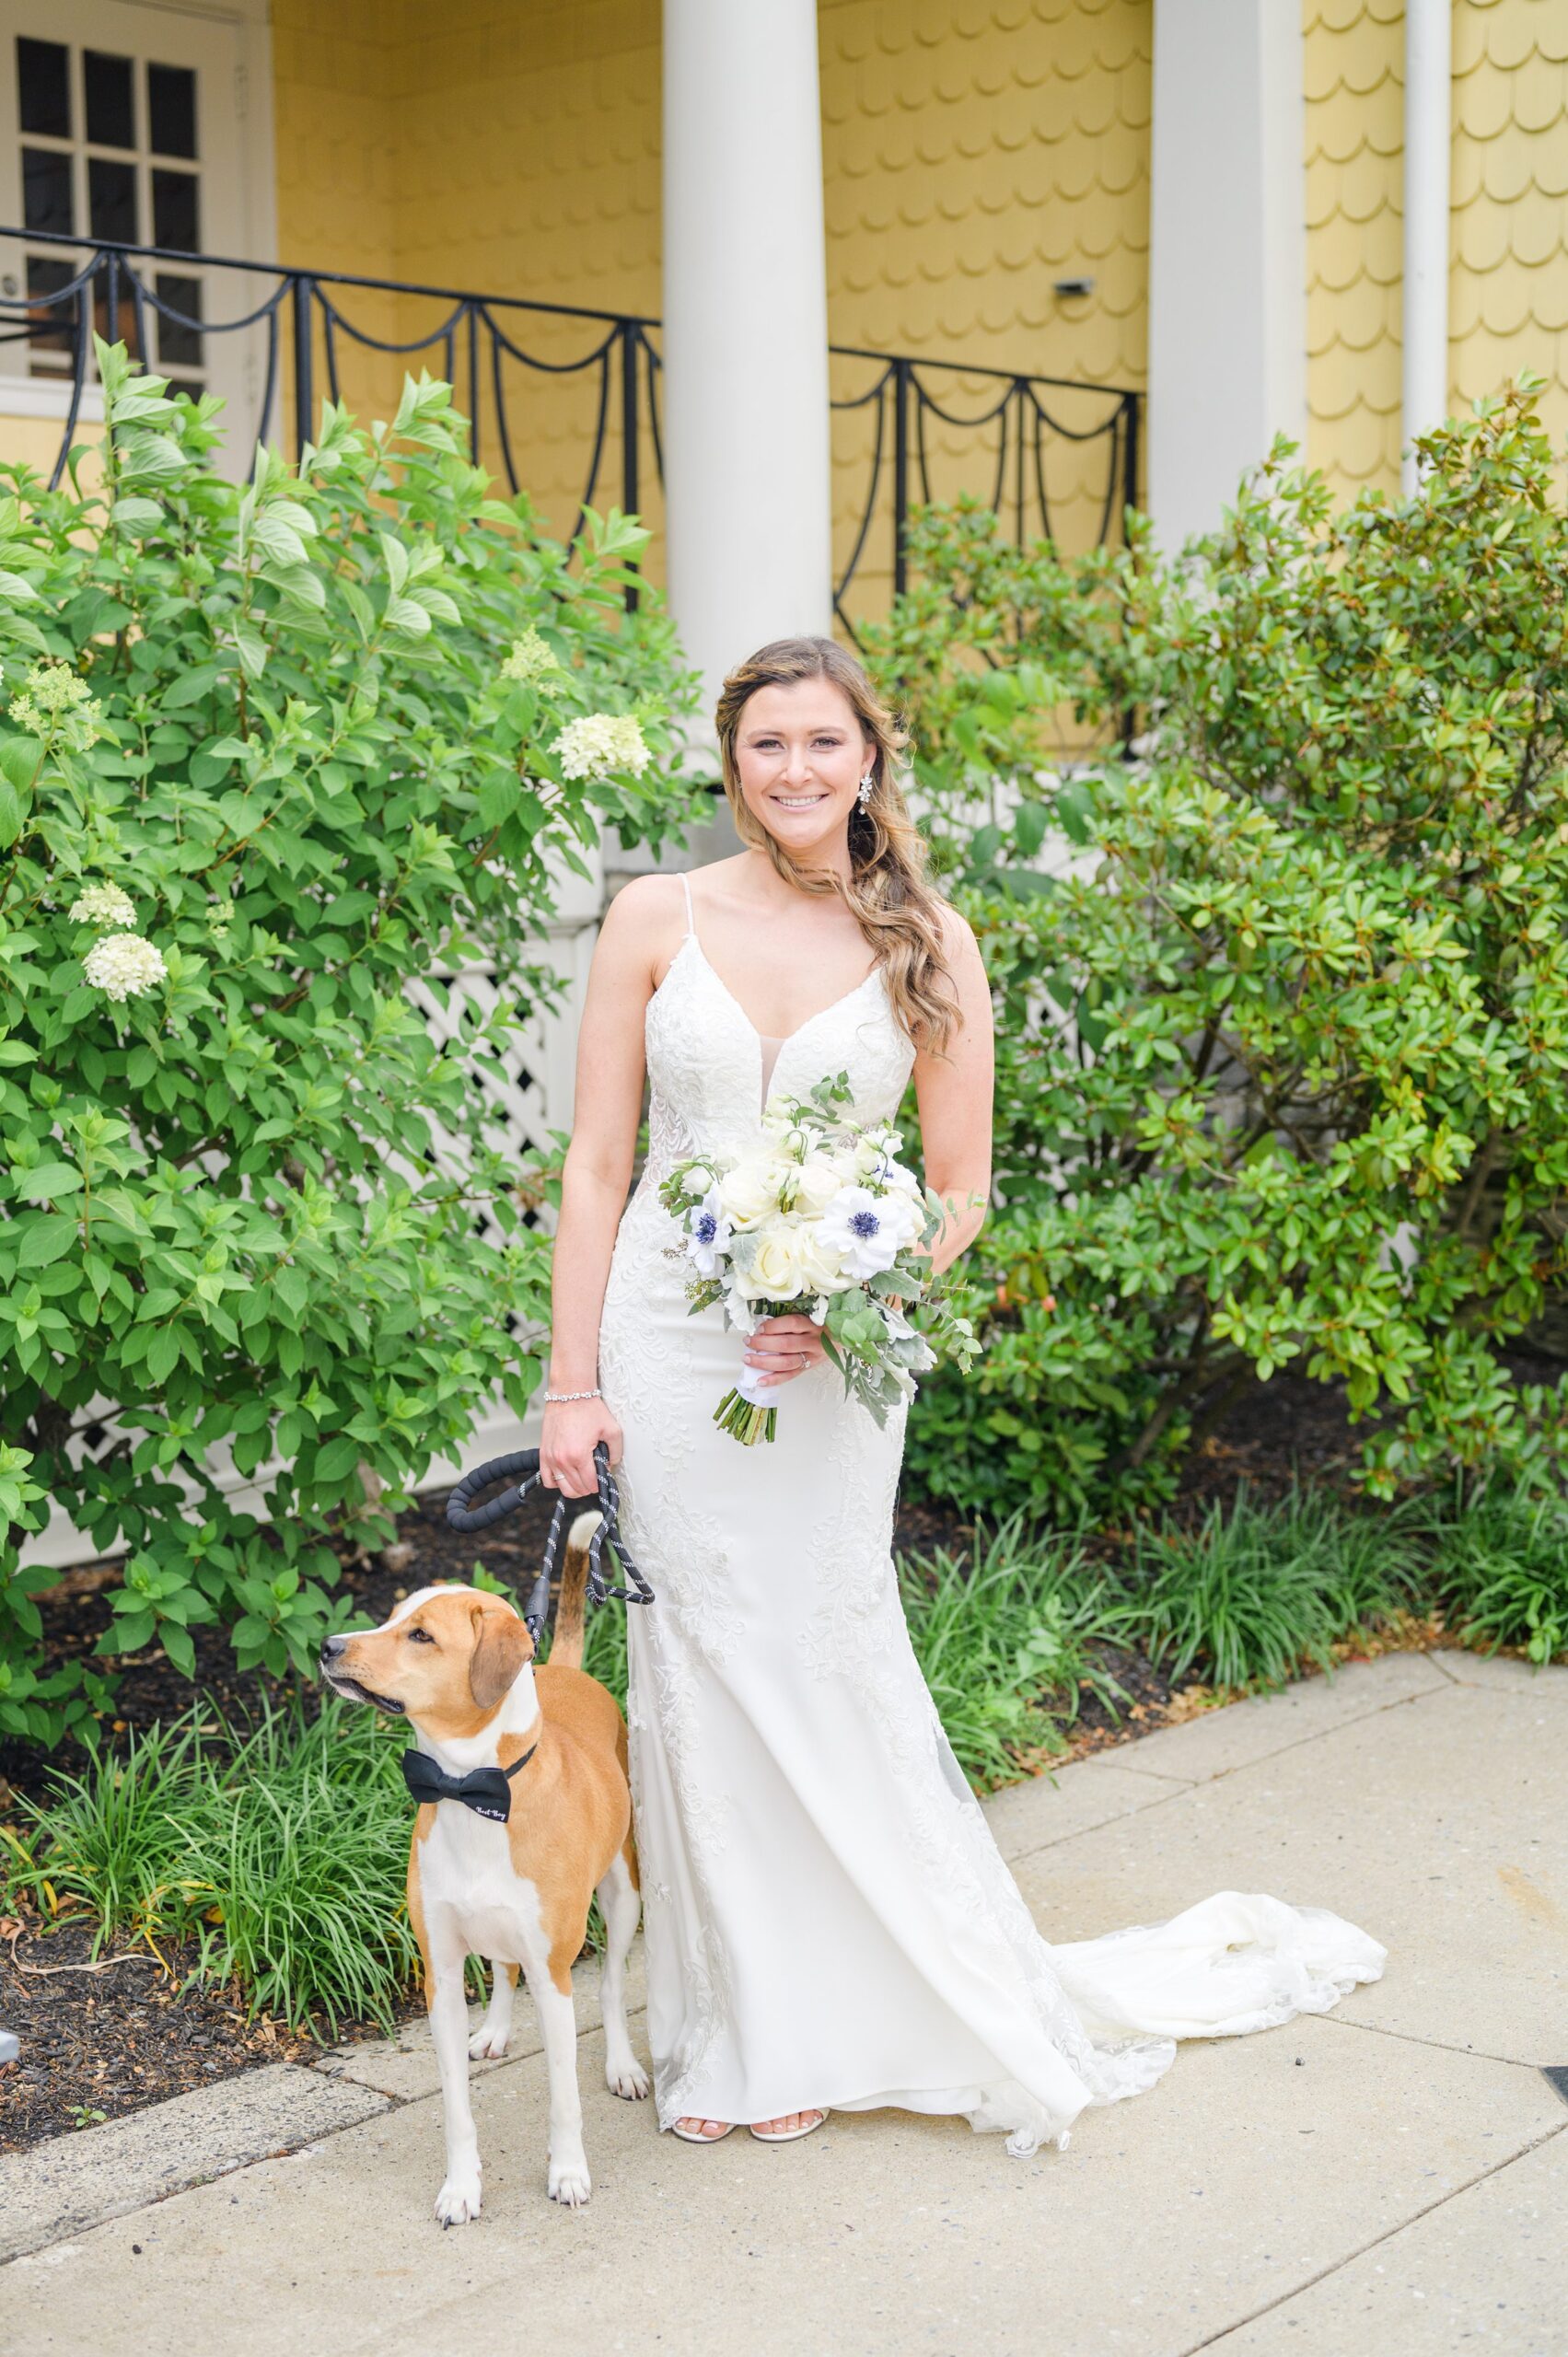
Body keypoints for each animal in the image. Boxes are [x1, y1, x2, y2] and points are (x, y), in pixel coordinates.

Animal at [320, 1517, 645, 2215]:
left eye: (420, 1635)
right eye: (391, 1617)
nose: (329, 1646)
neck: (468, 1788)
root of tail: (563, 1668)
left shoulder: (555, 1976)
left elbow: (564, 2099)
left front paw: (568, 2173)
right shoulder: (439, 1974)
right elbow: (457, 2110)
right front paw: (461, 2186)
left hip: (623, 1893)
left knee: (607, 1986)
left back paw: (624, 2065)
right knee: (501, 1968)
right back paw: (495, 2030)